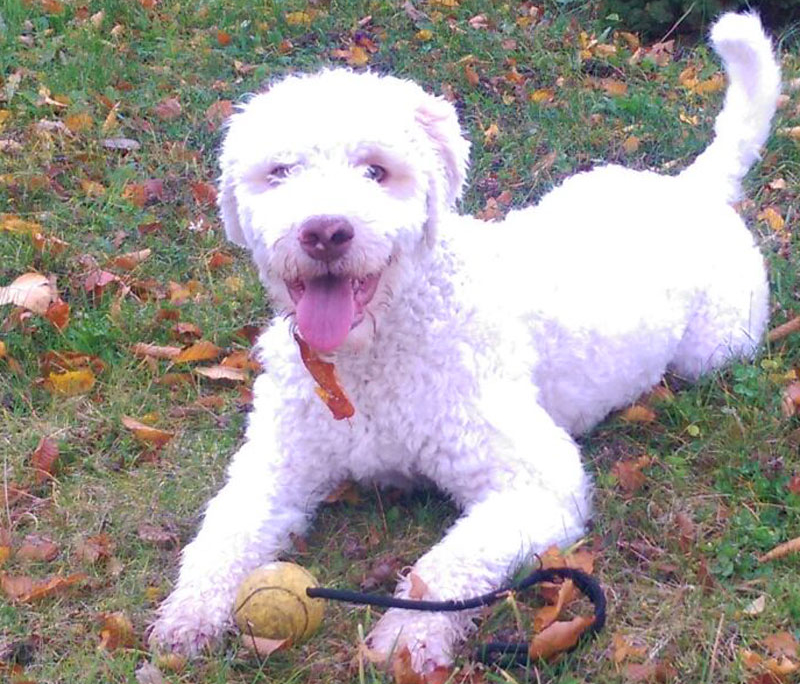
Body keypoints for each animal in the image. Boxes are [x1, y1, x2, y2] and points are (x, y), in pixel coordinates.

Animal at [152, 13, 780, 676]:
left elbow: (445, 566)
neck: (371, 356)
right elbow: (222, 531)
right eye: (279, 173)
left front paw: (409, 636)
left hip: (717, 349)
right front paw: (189, 615)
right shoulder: (275, 463)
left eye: (376, 170)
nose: (324, 233)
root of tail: (694, 189)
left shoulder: (539, 484)